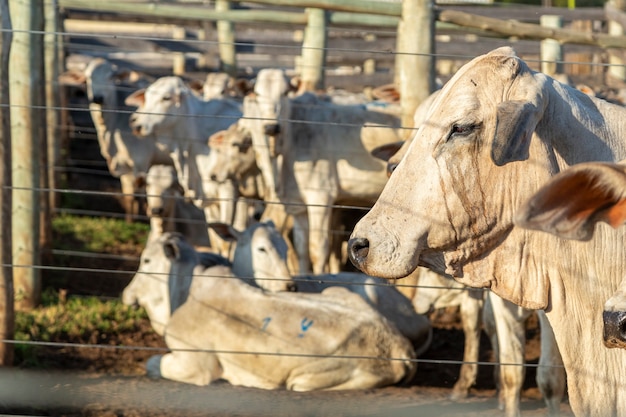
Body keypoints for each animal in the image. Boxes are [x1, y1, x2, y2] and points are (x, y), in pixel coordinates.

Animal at [61, 59, 173, 223]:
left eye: (111, 77)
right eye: (88, 78)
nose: (98, 98)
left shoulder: (140, 161)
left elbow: (136, 194)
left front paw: (135, 221)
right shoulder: (123, 165)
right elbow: (128, 195)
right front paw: (129, 220)